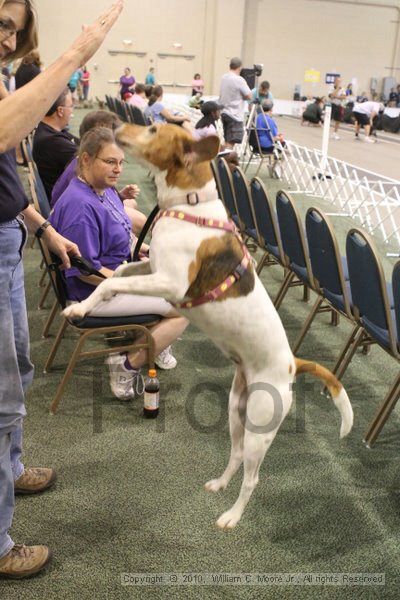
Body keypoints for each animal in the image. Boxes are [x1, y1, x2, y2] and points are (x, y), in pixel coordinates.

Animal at [63, 123, 354, 528]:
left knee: (252, 478)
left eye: (152, 129)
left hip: (261, 426)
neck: (189, 203)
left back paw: (232, 516)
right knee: (234, 456)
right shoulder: (149, 266)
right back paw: (219, 484)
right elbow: (116, 274)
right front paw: (81, 306)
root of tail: (293, 364)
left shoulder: (169, 283)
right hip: (236, 410)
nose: (116, 126)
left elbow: (108, 282)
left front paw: (85, 304)